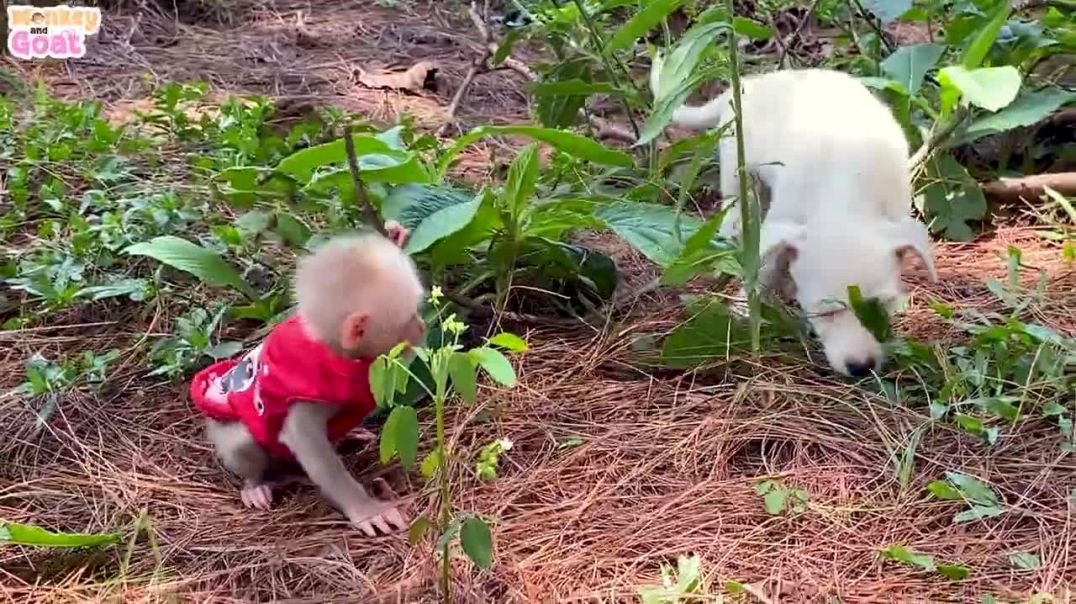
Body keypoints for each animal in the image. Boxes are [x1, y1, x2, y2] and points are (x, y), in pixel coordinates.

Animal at [189, 221, 426, 536]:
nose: (422, 327)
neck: (337, 354)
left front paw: (395, 235)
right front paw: (366, 510)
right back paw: (255, 485)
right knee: (242, 443)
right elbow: (304, 439)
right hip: (230, 433)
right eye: (409, 317)